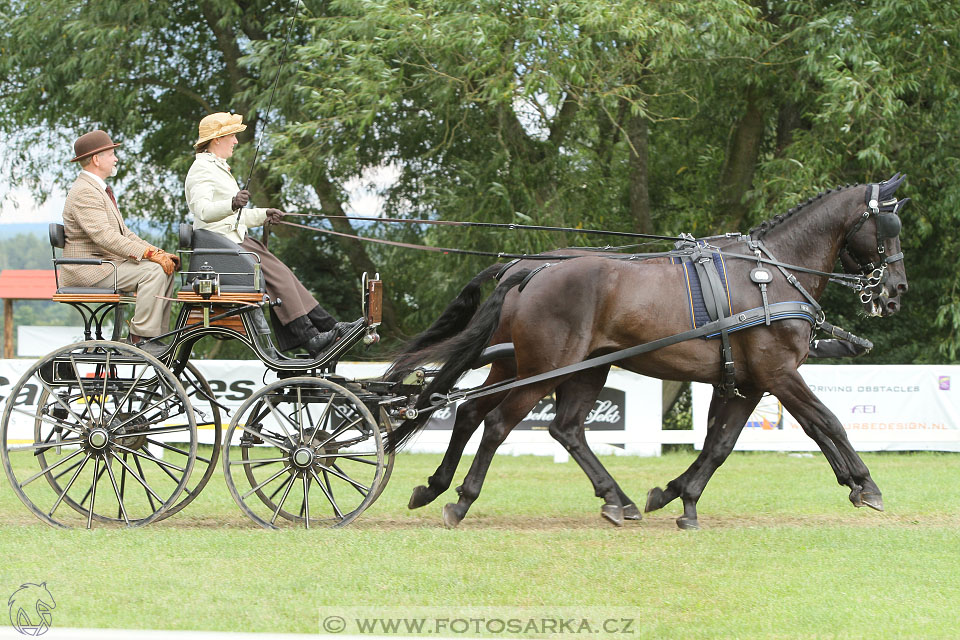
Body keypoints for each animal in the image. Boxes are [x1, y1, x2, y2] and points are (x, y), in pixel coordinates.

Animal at [384, 176, 908, 528]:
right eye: (889, 225)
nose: (896, 291)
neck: (771, 275)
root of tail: (527, 269)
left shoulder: (747, 382)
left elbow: (719, 444)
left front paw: (679, 496)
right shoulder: (777, 373)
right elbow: (826, 422)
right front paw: (865, 484)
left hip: (545, 367)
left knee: (519, 420)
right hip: (547, 369)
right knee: (497, 423)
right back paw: (461, 500)